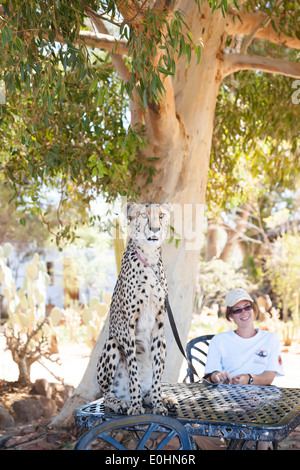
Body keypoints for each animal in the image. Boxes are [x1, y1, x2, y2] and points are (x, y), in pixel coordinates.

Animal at [97, 202, 173, 414]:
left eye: (161, 215)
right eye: (144, 215)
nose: (155, 229)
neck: (149, 258)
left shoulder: (158, 325)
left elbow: (156, 376)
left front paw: (158, 404)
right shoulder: (128, 326)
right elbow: (133, 372)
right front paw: (136, 406)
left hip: (165, 344)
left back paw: (159, 399)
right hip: (112, 343)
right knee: (106, 395)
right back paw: (121, 402)